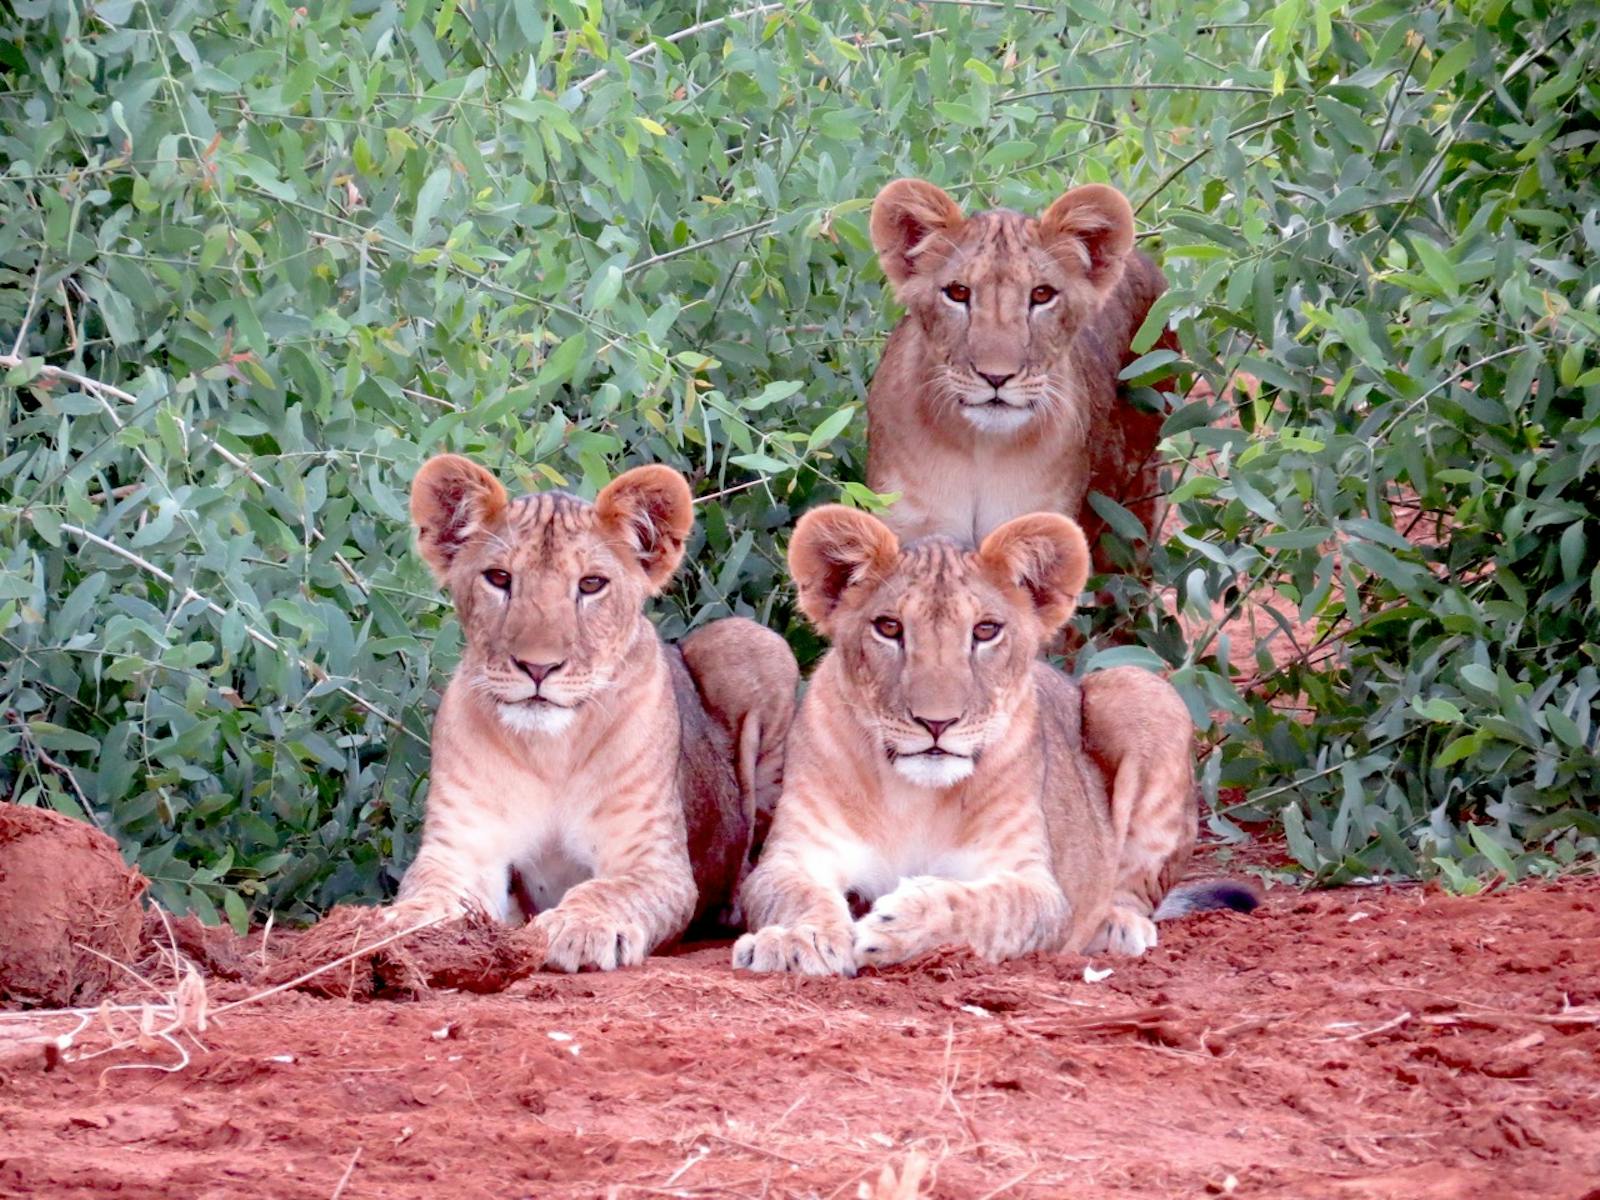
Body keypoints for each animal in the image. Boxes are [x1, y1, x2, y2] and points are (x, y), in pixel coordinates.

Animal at [391, 454, 798, 972]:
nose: (537, 666)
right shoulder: (459, 849)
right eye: (499, 578)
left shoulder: (653, 862)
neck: (550, 748)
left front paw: (581, 927)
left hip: (755, 642)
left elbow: (610, 891)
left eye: (590, 585)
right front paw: (403, 926)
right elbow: (430, 888)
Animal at [732, 505, 1254, 976]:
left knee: (1135, 892)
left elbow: (989, 906)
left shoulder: (1037, 884)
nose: (936, 722)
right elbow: (793, 894)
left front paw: (898, 925)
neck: (914, 795)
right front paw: (798, 939)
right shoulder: (791, 856)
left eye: (985, 631)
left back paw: (1116, 927)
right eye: (889, 628)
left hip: (1140, 689)